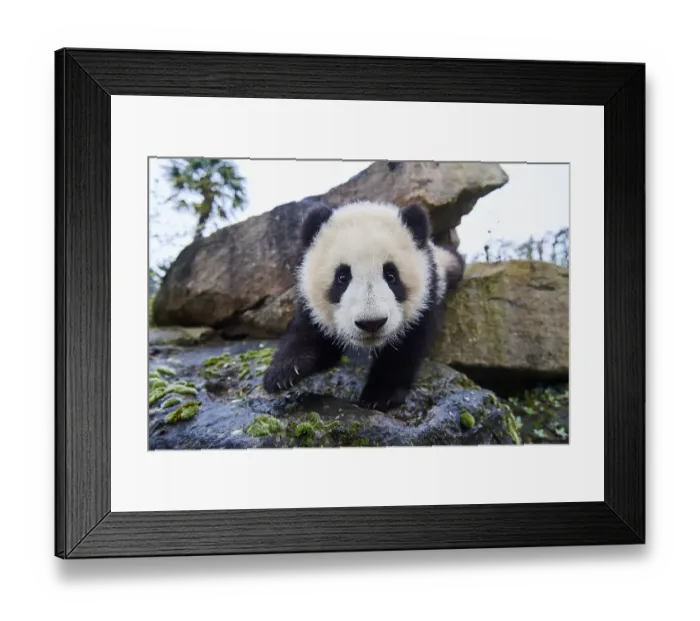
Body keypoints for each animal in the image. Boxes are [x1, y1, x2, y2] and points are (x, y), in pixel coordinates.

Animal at [263, 200, 465, 411]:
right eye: (342, 277)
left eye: (391, 276)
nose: (371, 323)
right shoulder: (311, 303)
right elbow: (309, 334)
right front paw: (283, 372)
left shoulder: (425, 298)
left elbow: (406, 346)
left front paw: (380, 395)